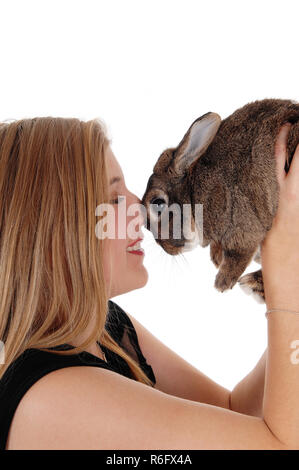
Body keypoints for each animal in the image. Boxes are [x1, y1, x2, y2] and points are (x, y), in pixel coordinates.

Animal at [141, 100, 299, 304]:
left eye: (158, 203)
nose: (168, 249)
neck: (194, 193)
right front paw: (217, 258)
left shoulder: (242, 224)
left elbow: (237, 254)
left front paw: (222, 283)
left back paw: (251, 285)